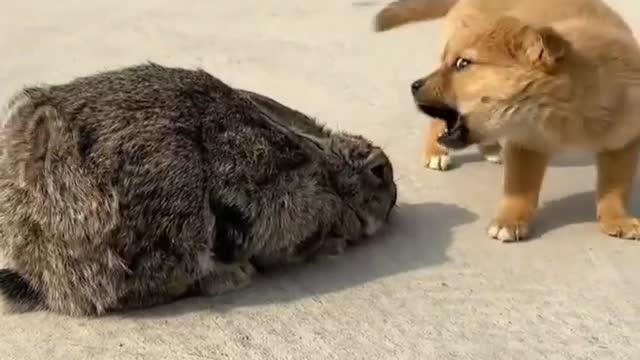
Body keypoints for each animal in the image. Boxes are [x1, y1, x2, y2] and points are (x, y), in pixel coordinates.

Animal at [372, 0, 640, 242]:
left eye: (463, 63)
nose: (414, 86)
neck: (564, 112)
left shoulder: (623, 141)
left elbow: (615, 187)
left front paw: (617, 219)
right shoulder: (526, 141)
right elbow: (519, 188)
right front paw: (509, 222)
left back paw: (490, 149)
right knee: (436, 123)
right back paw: (435, 152)